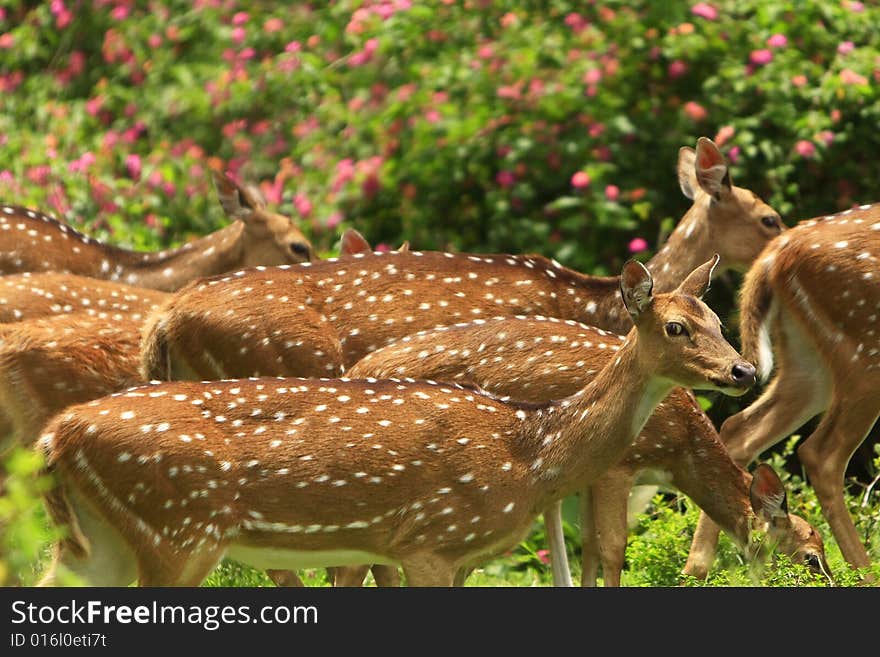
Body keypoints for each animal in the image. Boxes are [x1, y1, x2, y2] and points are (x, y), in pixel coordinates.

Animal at [37, 255, 756, 584]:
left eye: (720, 319)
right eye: (676, 327)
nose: (743, 371)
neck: (529, 452)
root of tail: (53, 437)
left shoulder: (452, 553)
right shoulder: (428, 540)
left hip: (97, 539)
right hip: (179, 530)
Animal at [340, 312, 828, 584]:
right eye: (810, 560)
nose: (833, 580)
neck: (679, 452)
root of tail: (354, 369)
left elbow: (589, 546)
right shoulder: (619, 466)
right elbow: (612, 547)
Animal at [684, 202, 880, 576]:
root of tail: (776, 253)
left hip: (809, 361)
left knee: (739, 427)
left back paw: (697, 570)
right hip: (864, 350)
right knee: (820, 453)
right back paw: (860, 573)